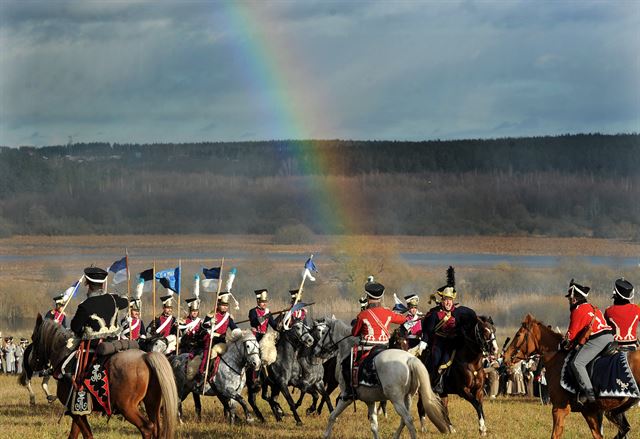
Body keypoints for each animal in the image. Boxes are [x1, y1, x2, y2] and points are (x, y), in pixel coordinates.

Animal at [26, 316, 178, 439]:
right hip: (152, 404)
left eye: (34, 337)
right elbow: (74, 435)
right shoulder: (78, 411)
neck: (65, 357)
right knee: (156, 428)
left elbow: (88, 435)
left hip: (127, 407)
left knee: (147, 428)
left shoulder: (76, 413)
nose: (30, 362)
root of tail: (145, 356)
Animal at [504, 312, 640, 439]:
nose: (505, 356)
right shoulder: (589, 412)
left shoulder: (559, 409)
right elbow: (598, 435)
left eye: (518, 335)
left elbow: (555, 434)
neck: (557, 357)